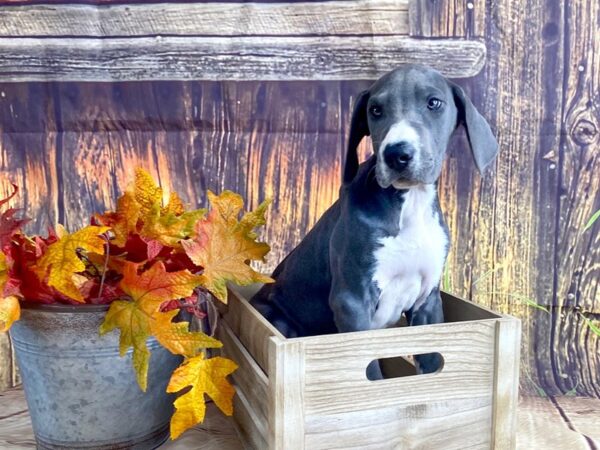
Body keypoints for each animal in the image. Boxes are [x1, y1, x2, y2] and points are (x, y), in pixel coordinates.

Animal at [251, 64, 500, 376]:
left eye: (434, 103)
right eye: (376, 110)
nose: (397, 154)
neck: (410, 205)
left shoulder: (428, 301)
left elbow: (432, 362)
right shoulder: (352, 301)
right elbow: (368, 369)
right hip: (280, 318)